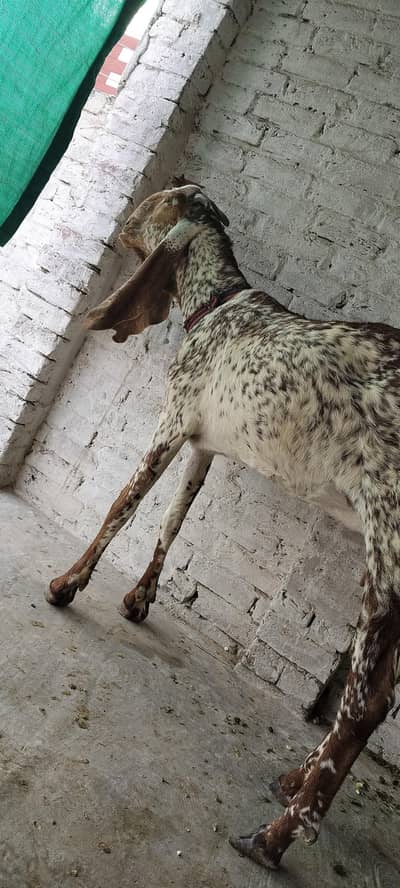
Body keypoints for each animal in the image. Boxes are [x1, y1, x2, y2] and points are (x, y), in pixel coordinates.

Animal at [47, 184, 400, 870]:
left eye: (154, 205)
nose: (125, 223)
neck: (213, 304)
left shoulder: (171, 422)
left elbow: (123, 507)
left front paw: (69, 584)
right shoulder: (204, 443)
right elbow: (174, 518)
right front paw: (139, 598)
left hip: (387, 540)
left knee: (364, 704)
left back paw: (275, 835)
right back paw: (291, 782)